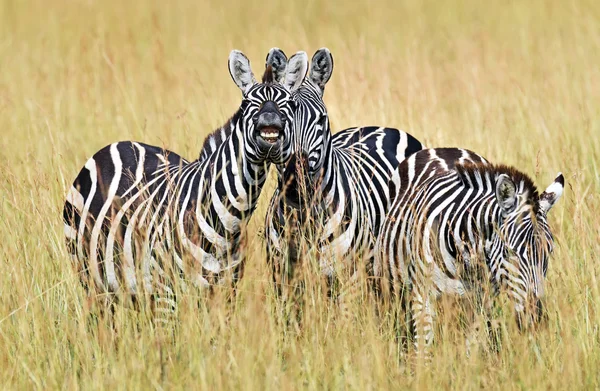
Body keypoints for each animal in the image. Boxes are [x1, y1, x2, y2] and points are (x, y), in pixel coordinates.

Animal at [61, 50, 296, 324]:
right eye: (247, 104)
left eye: (290, 103)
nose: (271, 123)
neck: (227, 224)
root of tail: (115, 145)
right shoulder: (166, 294)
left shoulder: (226, 294)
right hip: (91, 280)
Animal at [264, 49, 426, 300]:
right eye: (280, 120)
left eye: (321, 119)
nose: (295, 179)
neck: (303, 216)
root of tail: (379, 127)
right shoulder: (281, 276)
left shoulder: (345, 276)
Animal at [372, 149, 564, 360]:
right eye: (510, 251)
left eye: (549, 252)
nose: (535, 317)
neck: (466, 259)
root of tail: (444, 149)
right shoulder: (423, 297)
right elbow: (423, 350)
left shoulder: (480, 303)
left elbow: (470, 351)